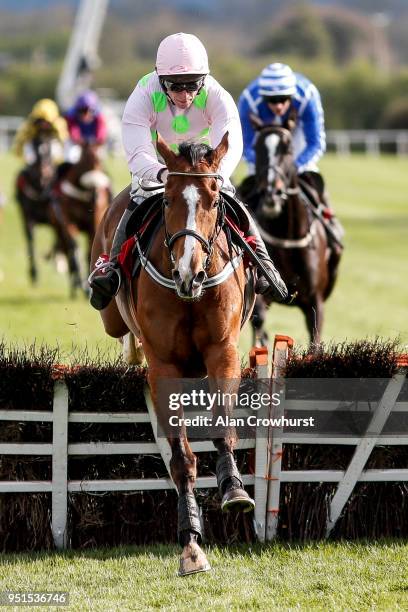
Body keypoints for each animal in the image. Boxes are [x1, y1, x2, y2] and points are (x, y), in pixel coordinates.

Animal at [91, 133, 255, 572]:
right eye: (166, 200)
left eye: (214, 200)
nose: (188, 273)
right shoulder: (164, 366)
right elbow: (180, 456)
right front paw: (191, 541)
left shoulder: (223, 350)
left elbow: (222, 425)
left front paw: (234, 488)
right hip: (110, 311)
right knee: (121, 330)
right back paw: (130, 347)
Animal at [239, 122, 342, 346]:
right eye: (257, 147)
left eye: (288, 148)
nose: (272, 193)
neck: (287, 236)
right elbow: (258, 319)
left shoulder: (315, 302)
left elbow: (315, 339)